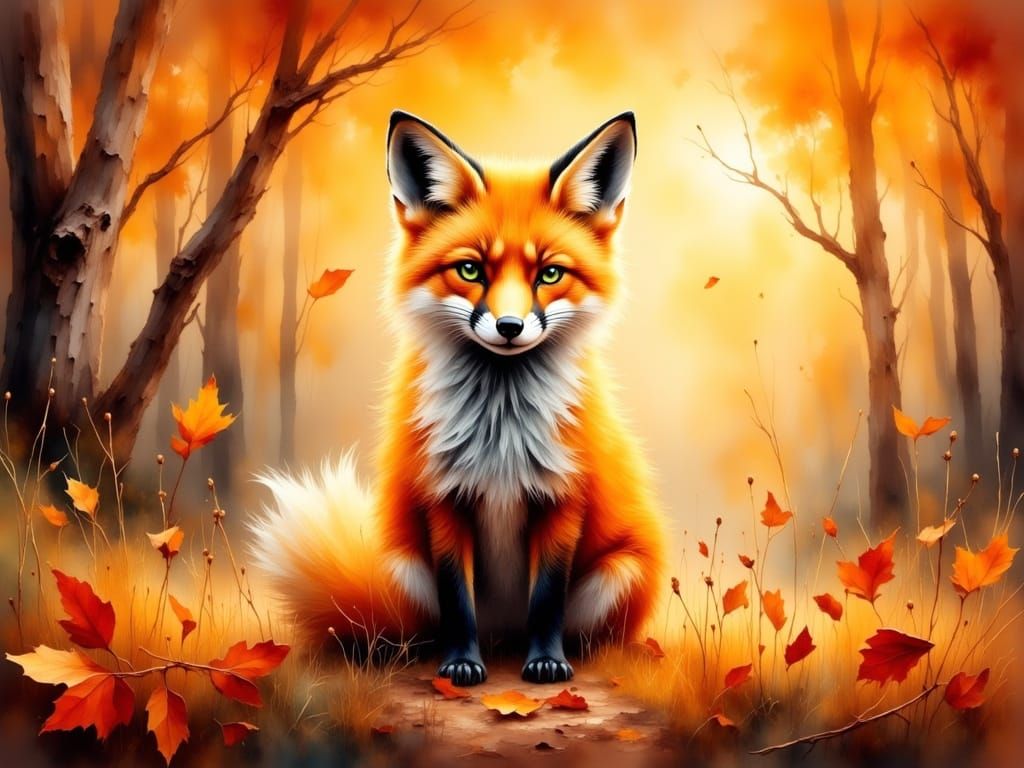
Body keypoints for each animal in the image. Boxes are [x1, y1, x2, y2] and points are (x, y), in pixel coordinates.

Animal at [250, 110, 666, 686]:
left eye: (550, 274)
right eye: (471, 270)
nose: (510, 327)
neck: (502, 432)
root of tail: (504, 635)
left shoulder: (562, 498)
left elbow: (547, 599)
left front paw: (547, 662)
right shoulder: (443, 498)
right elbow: (457, 600)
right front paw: (461, 666)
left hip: (619, 570)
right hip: (405, 566)